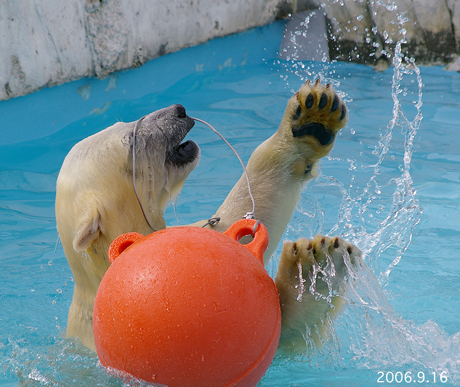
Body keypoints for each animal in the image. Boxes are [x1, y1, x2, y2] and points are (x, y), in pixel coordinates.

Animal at [55, 79, 362, 354]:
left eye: (123, 123)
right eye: (131, 139)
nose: (178, 109)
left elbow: (241, 216)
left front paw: (313, 119)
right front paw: (313, 265)